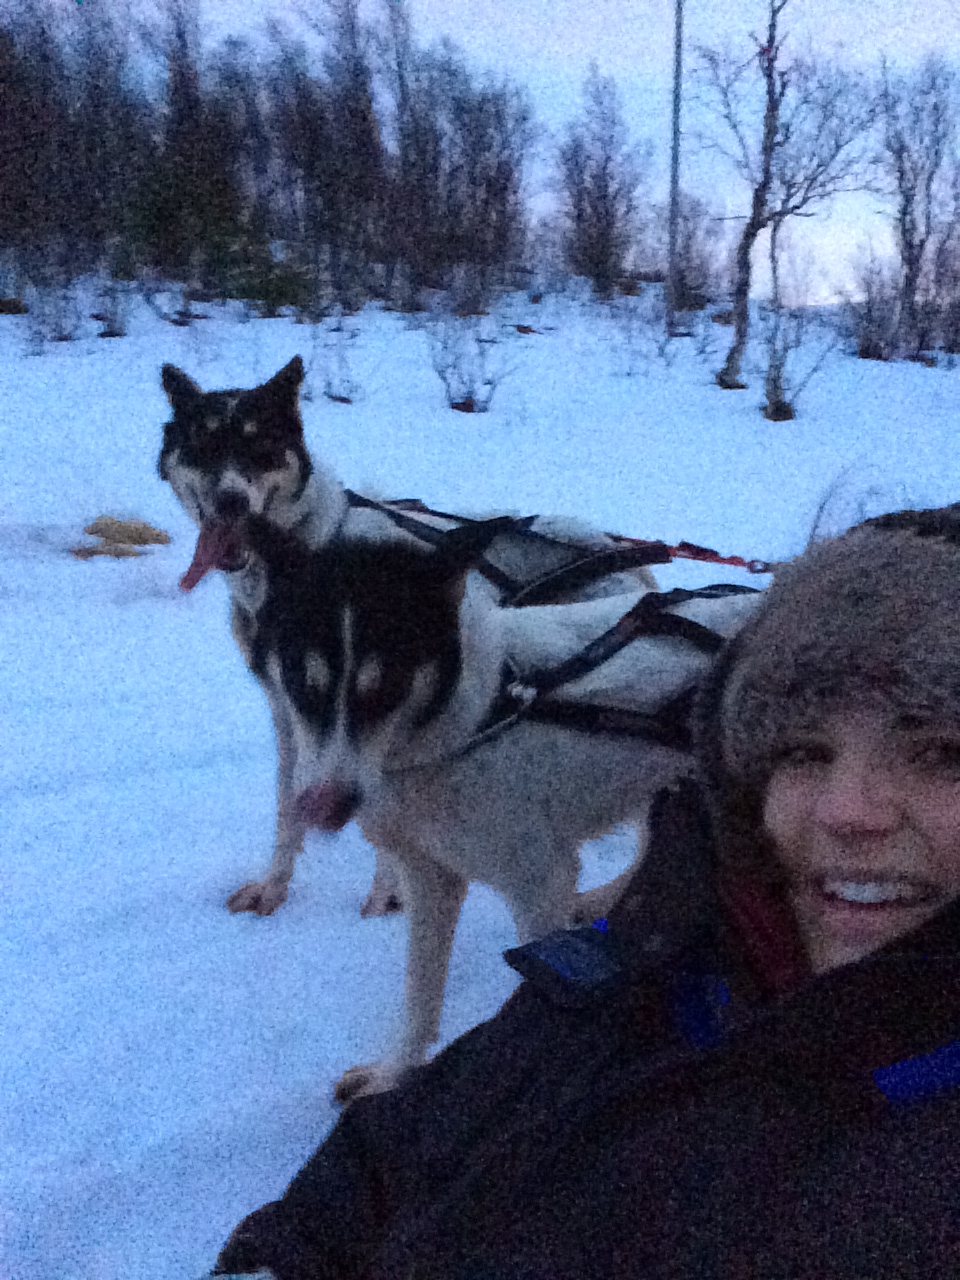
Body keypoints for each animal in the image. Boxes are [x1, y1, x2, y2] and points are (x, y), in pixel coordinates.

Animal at [161, 360, 665, 921]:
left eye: (260, 447)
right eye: (204, 447)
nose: (230, 501)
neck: (321, 547)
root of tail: (622, 559)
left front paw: (386, 891)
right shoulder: (294, 713)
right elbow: (289, 809)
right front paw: (274, 886)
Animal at [245, 519, 768, 1100]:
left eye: (389, 685)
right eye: (301, 680)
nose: (324, 806)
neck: (480, 716)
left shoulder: (537, 886)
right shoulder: (430, 878)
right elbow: (420, 996)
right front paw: (393, 1075)